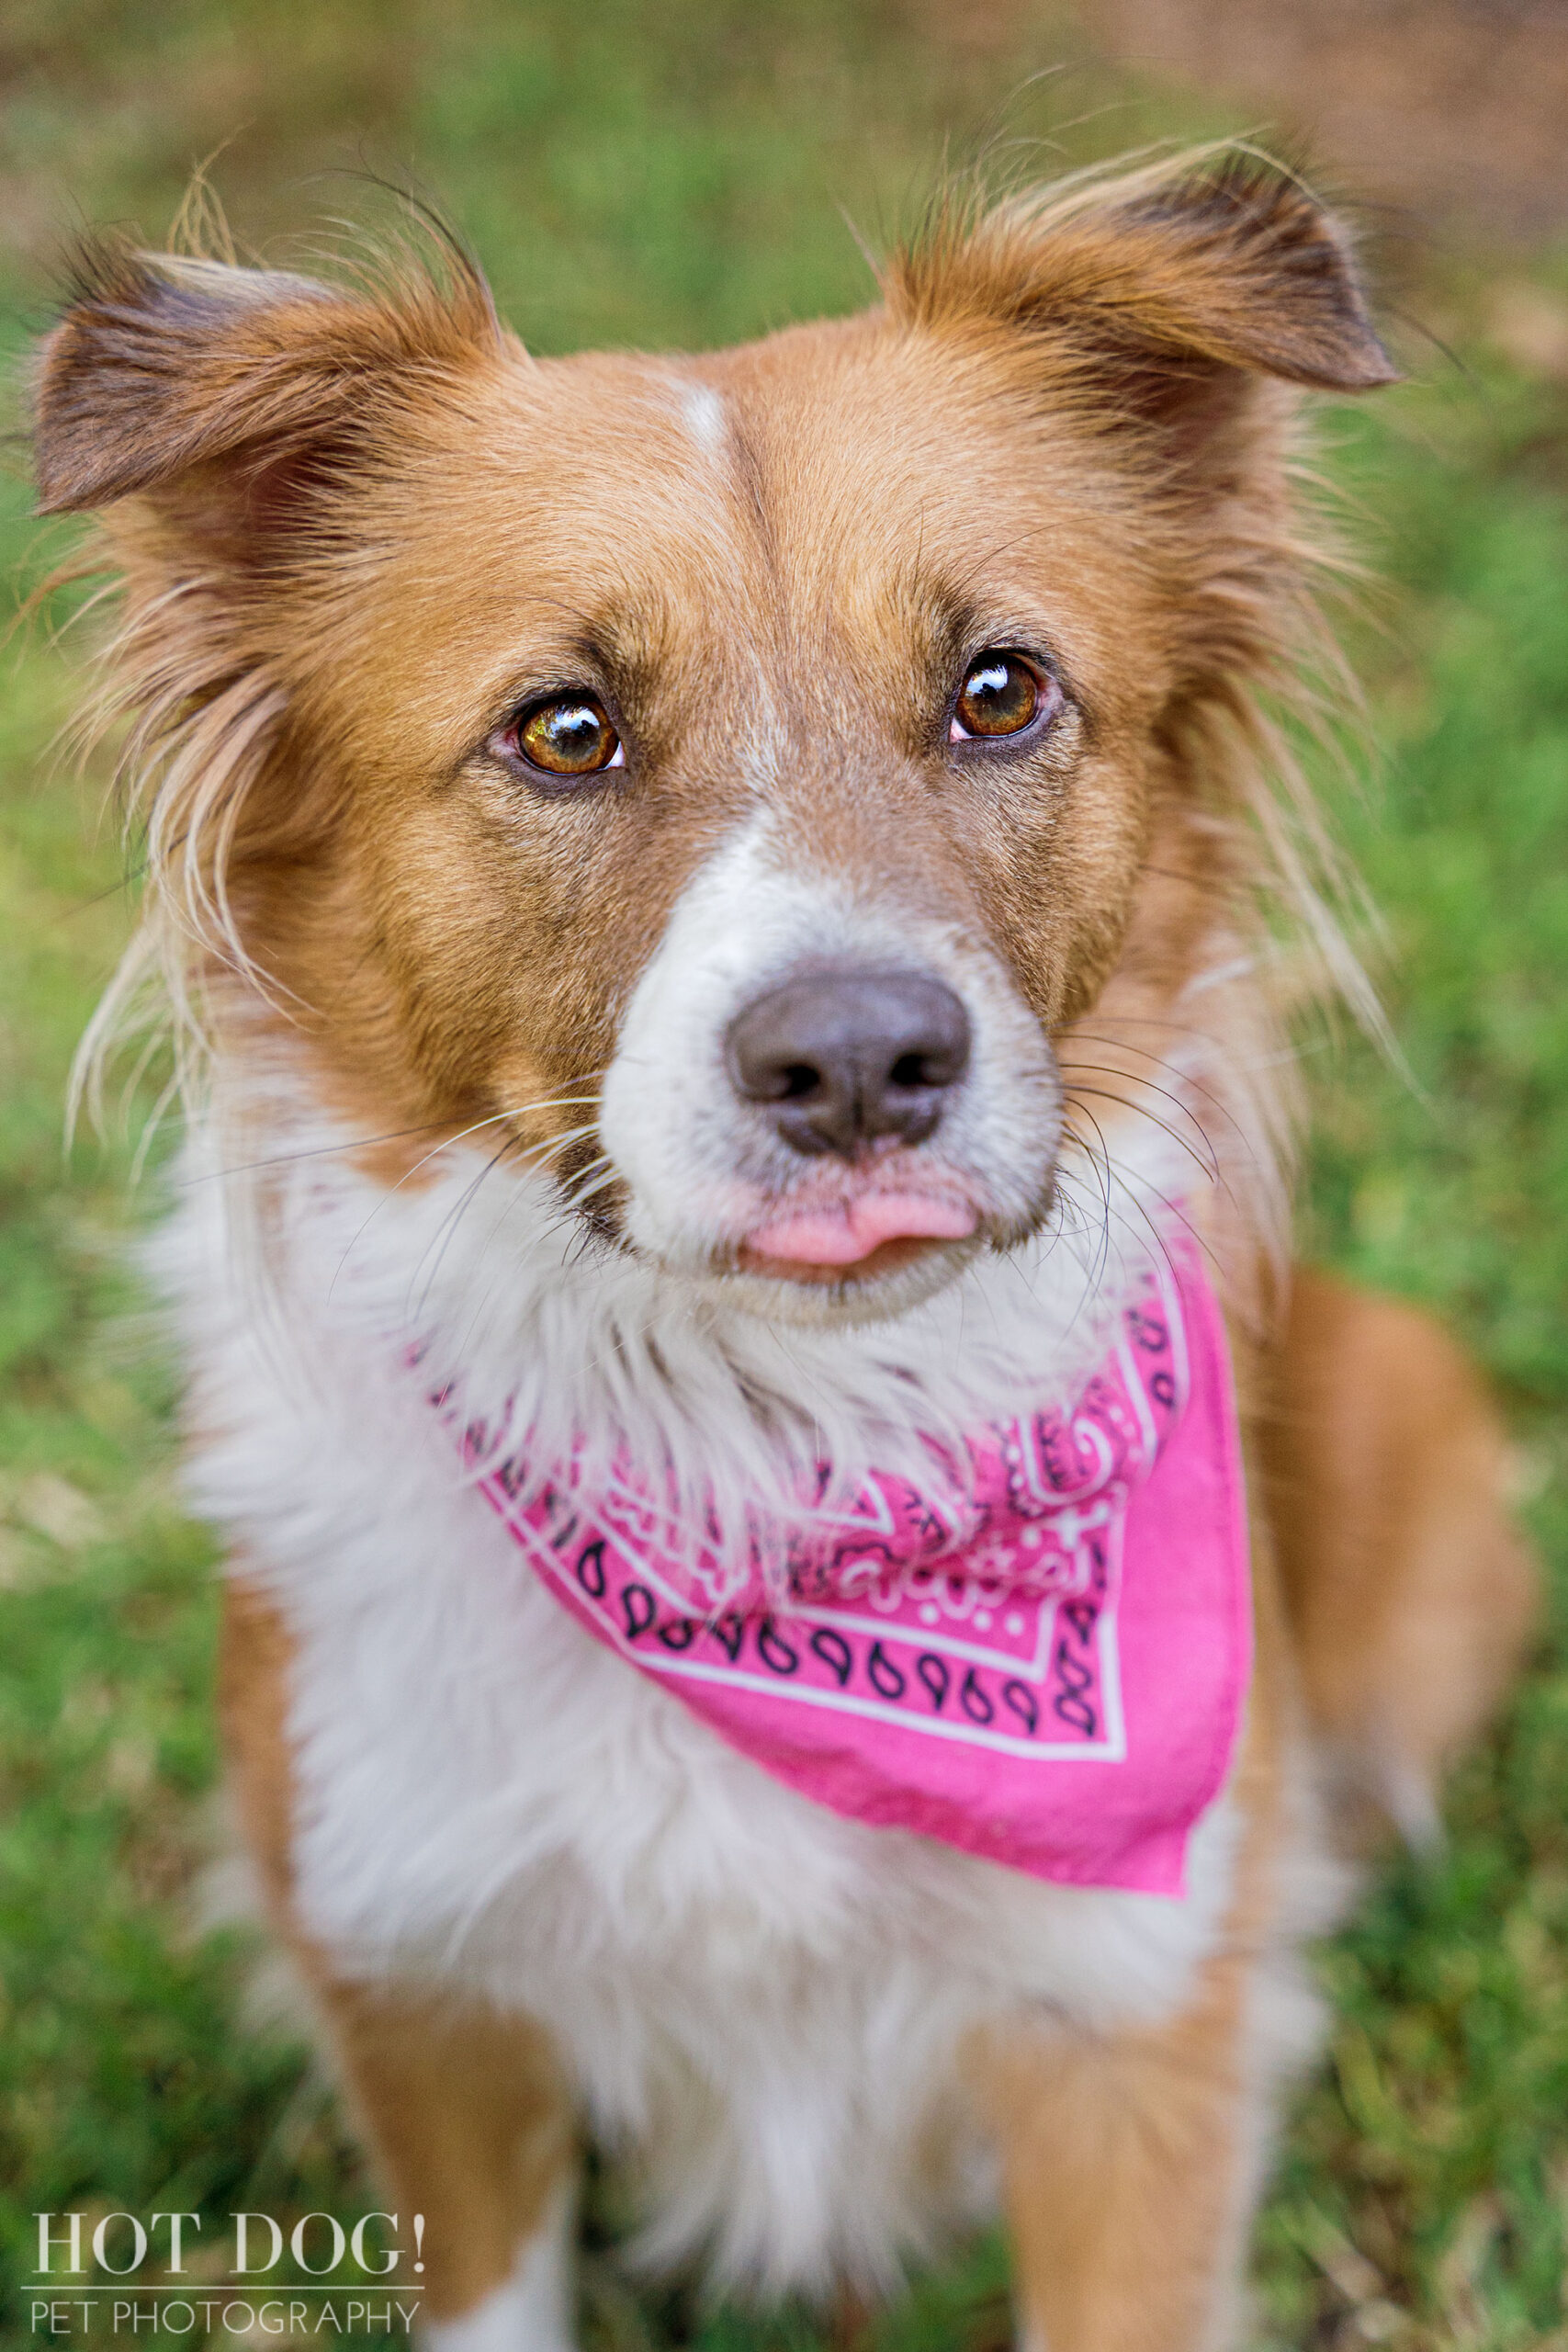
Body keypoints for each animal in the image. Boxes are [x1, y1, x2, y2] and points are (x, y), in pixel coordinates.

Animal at [30, 152, 1541, 2352]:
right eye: (563, 729)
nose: (855, 1061)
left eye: (997, 690)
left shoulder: (1129, 2036)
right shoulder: (423, 1990)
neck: (765, 1454)